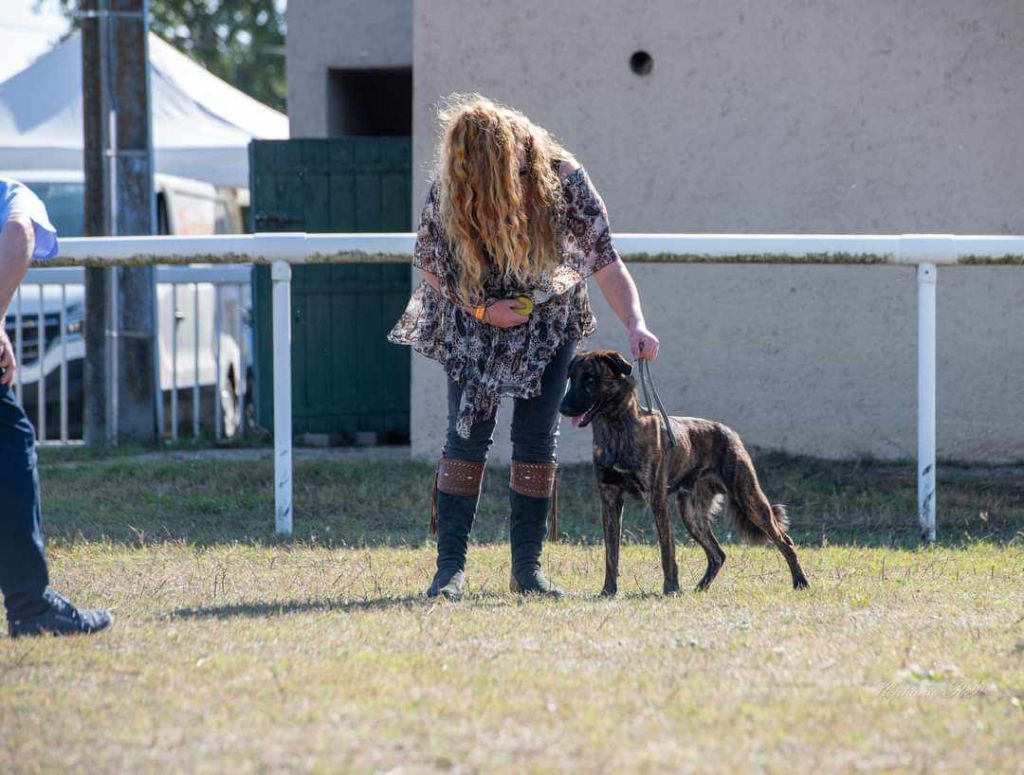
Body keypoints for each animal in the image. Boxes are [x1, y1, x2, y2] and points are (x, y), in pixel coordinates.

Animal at [561, 350, 806, 593]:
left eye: (590, 379)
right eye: (571, 378)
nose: (562, 408)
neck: (616, 429)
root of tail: (729, 431)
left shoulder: (657, 500)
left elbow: (667, 551)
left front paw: (671, 589)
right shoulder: (610, 500)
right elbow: (611, 554)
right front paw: (608, 591)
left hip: (750, 500)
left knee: (784, 540)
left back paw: (800, 581)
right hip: (691, 513)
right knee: (718, 554)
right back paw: (700, 588)